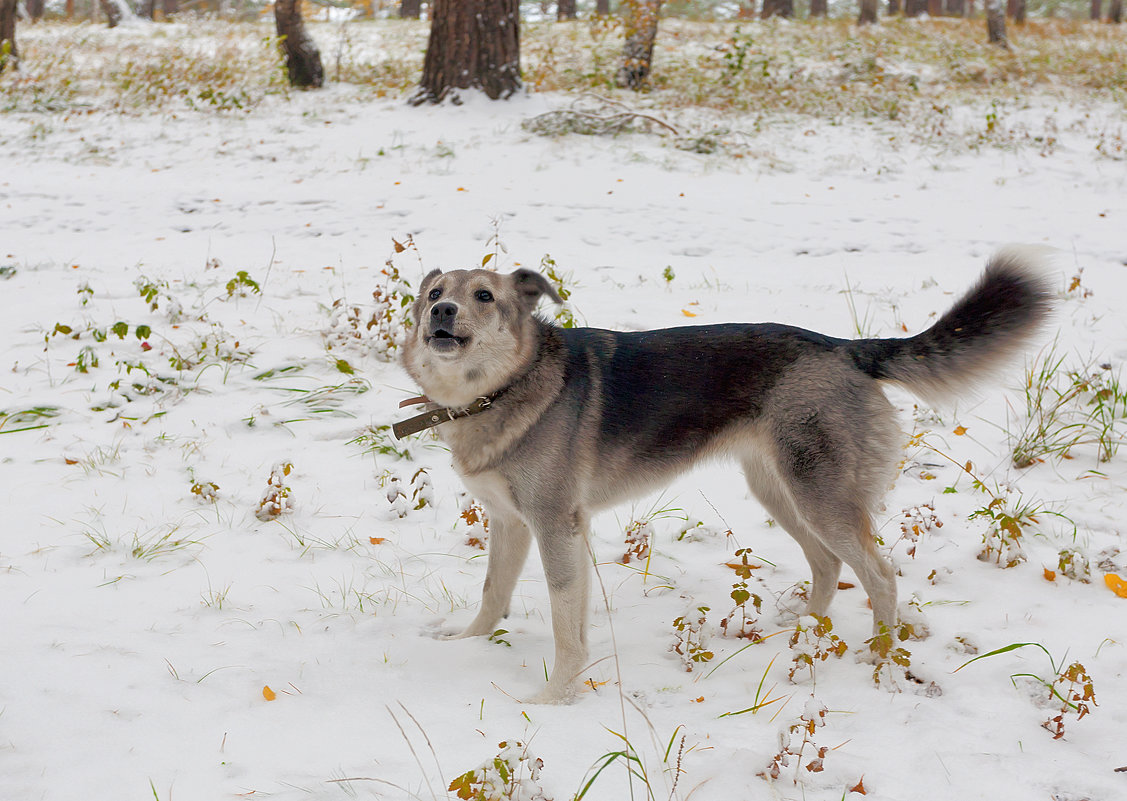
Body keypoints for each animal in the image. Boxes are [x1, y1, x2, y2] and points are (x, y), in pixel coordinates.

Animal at [398, 250, 1054, 702]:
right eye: (434, 292)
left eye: (484, 296)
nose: (441, 311)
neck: (500, 389)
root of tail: (845, 348)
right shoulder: (512, 523)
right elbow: (494, 595)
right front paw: (465, 646)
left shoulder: (556, 528)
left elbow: (566, 632)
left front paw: (552, 700)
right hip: (780, 490)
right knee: (828, 564)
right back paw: (807, 629)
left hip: (819, 496)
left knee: (881, 576)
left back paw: (877, 659)